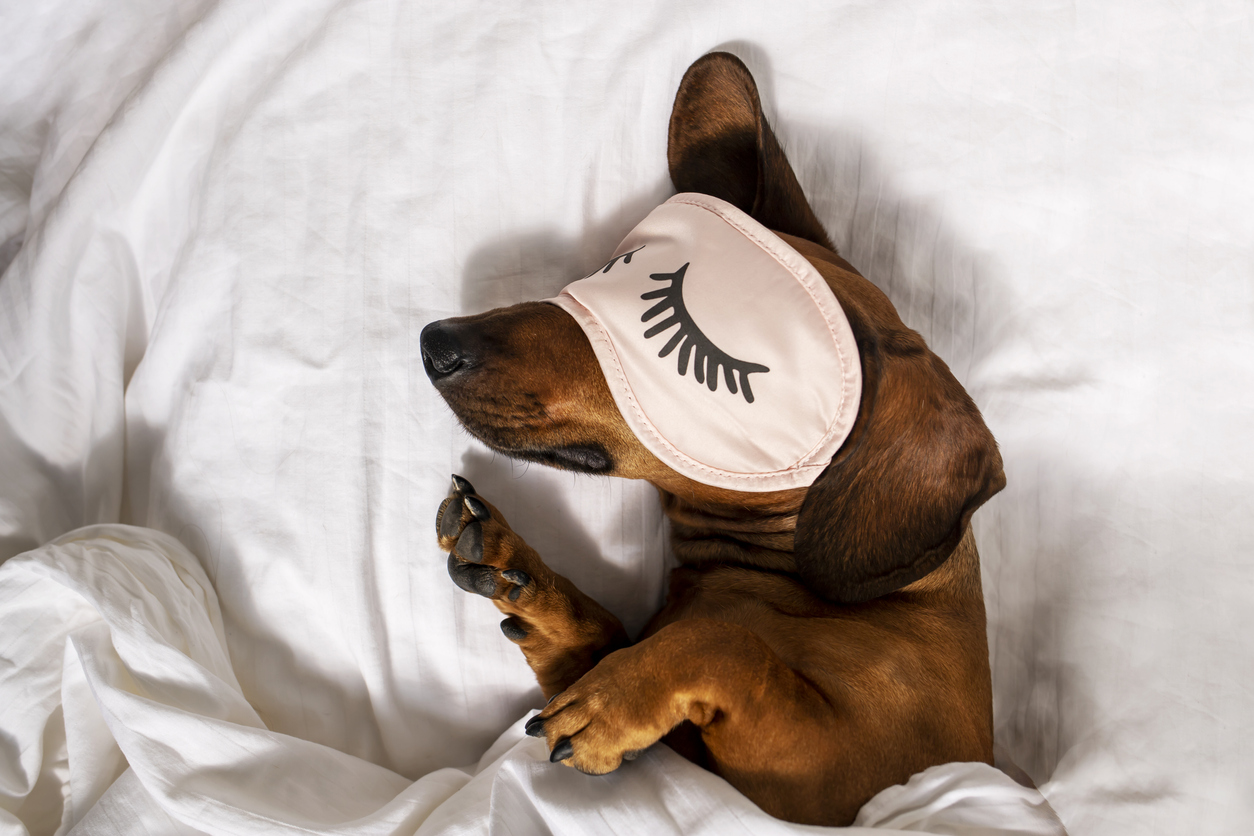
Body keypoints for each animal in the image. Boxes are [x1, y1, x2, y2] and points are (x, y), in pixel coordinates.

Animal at [421, 53, 1008, 832]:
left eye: (677, 341)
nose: (435, 343)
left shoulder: (830, 785)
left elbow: (725, 642)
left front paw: (611, 702)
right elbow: (611, 637)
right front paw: (526, 580)